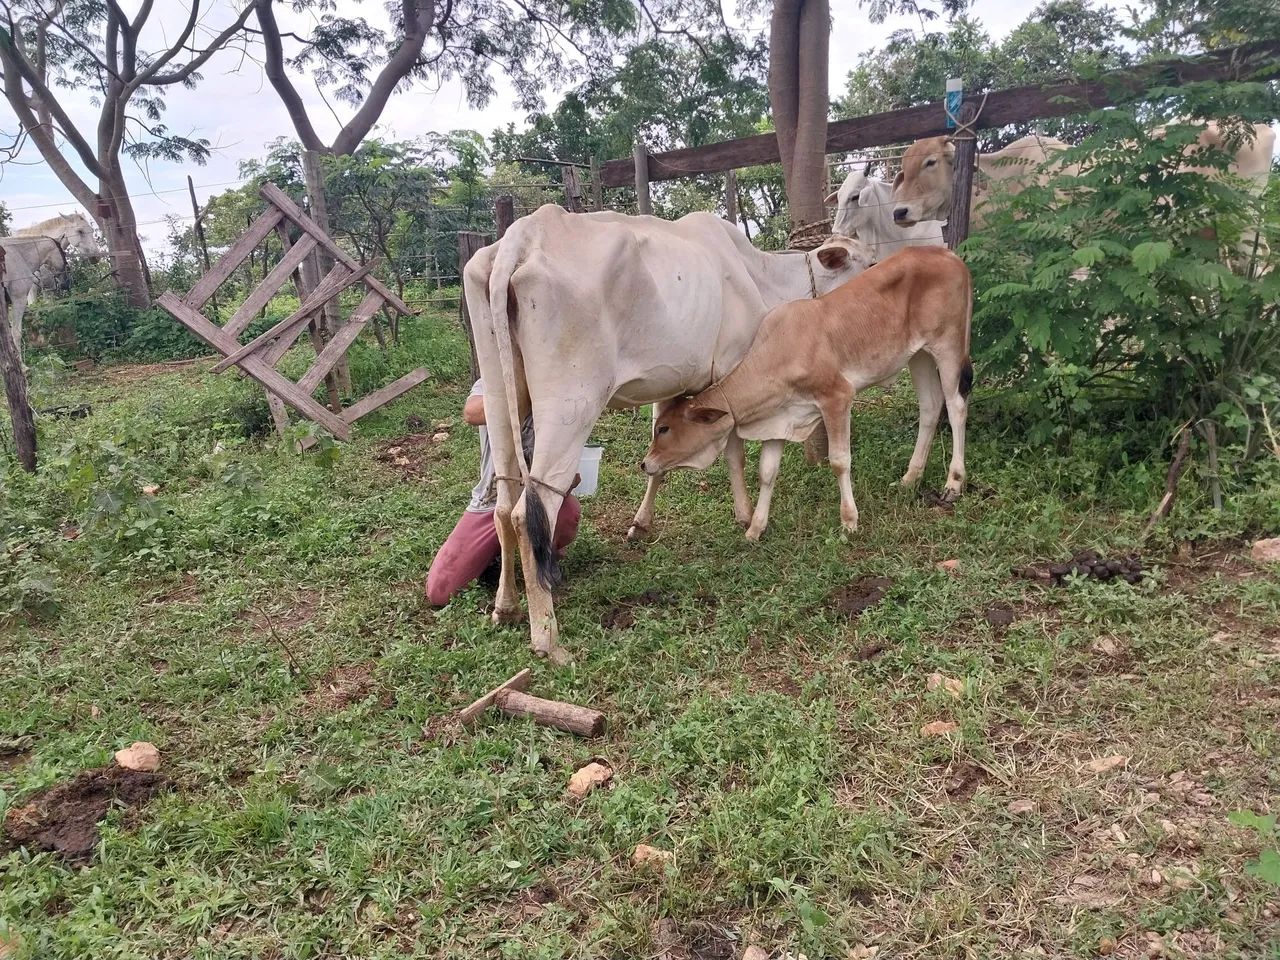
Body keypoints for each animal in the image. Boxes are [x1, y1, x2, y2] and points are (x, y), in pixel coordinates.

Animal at [464, 205, 874, 662]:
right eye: (867, 262)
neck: (759, 274)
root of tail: (525, 233)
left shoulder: (672, 382)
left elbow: (658, 457)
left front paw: (641, 524)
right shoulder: (728, 370)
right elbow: (734, 450)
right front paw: (745, 515)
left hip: (499, 394)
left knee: (503, 505)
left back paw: (506, 608)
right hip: (571, 403)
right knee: (530, 513)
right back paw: (548, 640)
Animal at [641, 246, 973, 542]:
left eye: (664, 428)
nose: (645, 463)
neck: (777, 353)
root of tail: (949, 255)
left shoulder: (837, 397)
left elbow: (839, 460)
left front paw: (849, 521)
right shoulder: (780, 418)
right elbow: (767, 472)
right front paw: (755, 528)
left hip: (948, 344)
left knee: (956, 405)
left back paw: (953, 483)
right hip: (919, 356)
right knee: (930, 407)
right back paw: (909, 478)